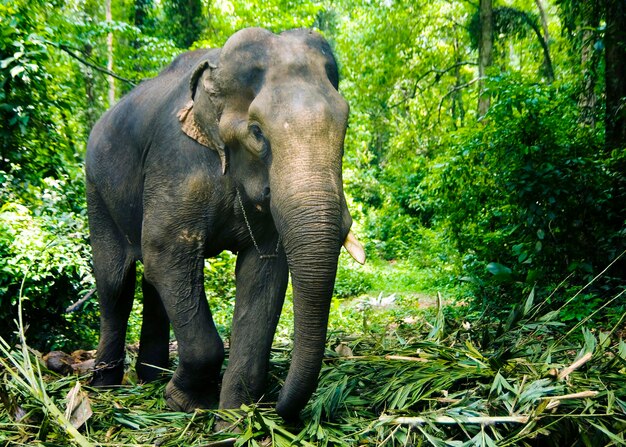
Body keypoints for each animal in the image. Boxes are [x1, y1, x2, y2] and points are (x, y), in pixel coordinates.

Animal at [85, 28, 364, 420]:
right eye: (257, 132)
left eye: (346, 125)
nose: (279, 406)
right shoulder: (177, 162)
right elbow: (166, 253)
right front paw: (184, 403)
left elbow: (263, 274)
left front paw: (234, 420)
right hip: (96, 188)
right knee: (116, 284)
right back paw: (104, 389)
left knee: (151, 281)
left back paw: (150, 378)